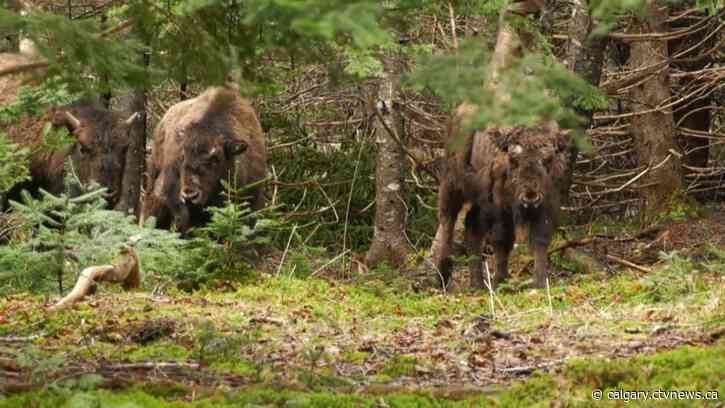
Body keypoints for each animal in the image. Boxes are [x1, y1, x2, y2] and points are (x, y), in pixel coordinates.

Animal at [431, 104, 570, 289]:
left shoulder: (549, 202)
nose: (530, 197)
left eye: (547, 159)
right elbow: (502, 239)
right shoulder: (500, 205)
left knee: (472, 227)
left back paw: (478, 283)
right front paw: (501, 280)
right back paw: (443, 277)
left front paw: (540, 282)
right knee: (448, 221)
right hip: (452, 184)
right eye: (513, 159)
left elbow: (540, 238)